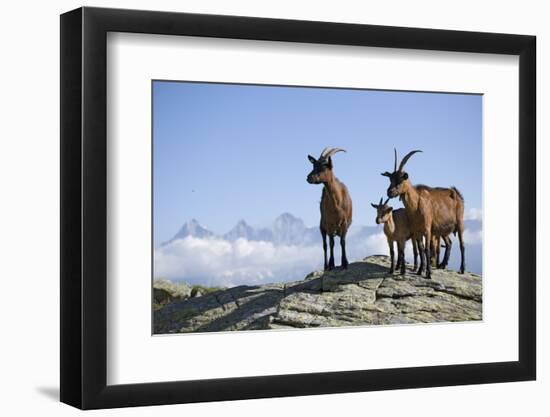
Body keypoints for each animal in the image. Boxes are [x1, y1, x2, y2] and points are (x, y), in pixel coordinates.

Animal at [384, 148, 466, 278]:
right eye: (390, 179)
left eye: (401, 179)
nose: (389, 192)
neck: (416, 204)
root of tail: (457, 194)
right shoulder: (417, 231)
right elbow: (421, 249)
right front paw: (419, 270)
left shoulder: (428, 229)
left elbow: (427, 249)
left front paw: (428, 273)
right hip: (443, 230)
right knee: (449, 243)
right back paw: (442, 265)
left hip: (460, 222)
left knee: (462, 244)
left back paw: (462, 269)